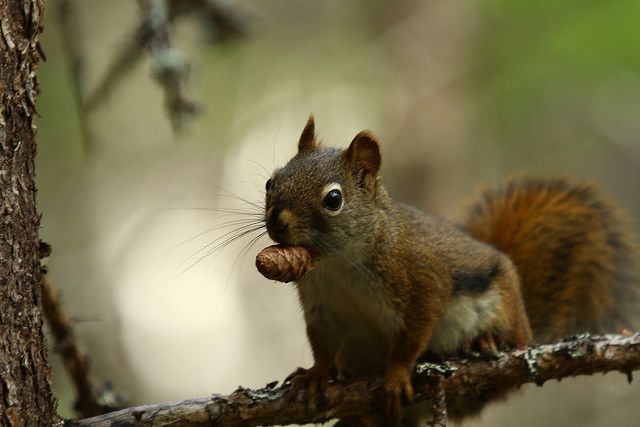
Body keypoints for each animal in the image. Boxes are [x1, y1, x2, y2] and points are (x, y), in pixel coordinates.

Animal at [262, 115, 640, 426]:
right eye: (271, 182)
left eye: (333, 199)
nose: (277, 222)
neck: (338, 264)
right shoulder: (321, 305)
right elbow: (321, 342)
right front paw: (316, 375)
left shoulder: (422, 282)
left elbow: (413, 335)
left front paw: (396, 375)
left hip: (504, 312)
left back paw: (485, 340)